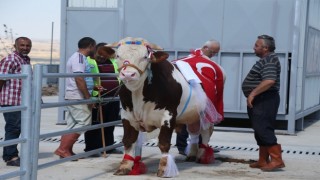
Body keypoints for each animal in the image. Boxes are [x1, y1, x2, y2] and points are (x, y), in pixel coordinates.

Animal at [105, 37, 225, 177]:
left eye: (145, 56)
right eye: (118, 55)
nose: (129, 74)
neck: (139, 94)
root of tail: (201, 56)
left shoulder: (168, 116)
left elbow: (164, 143)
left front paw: (165, 169)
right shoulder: (127, 116)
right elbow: (129, 141)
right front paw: (124, 166)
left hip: (209, 111)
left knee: (206, 132)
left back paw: (202, 156)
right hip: (193, 113)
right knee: (194, 131)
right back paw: (192, 154)